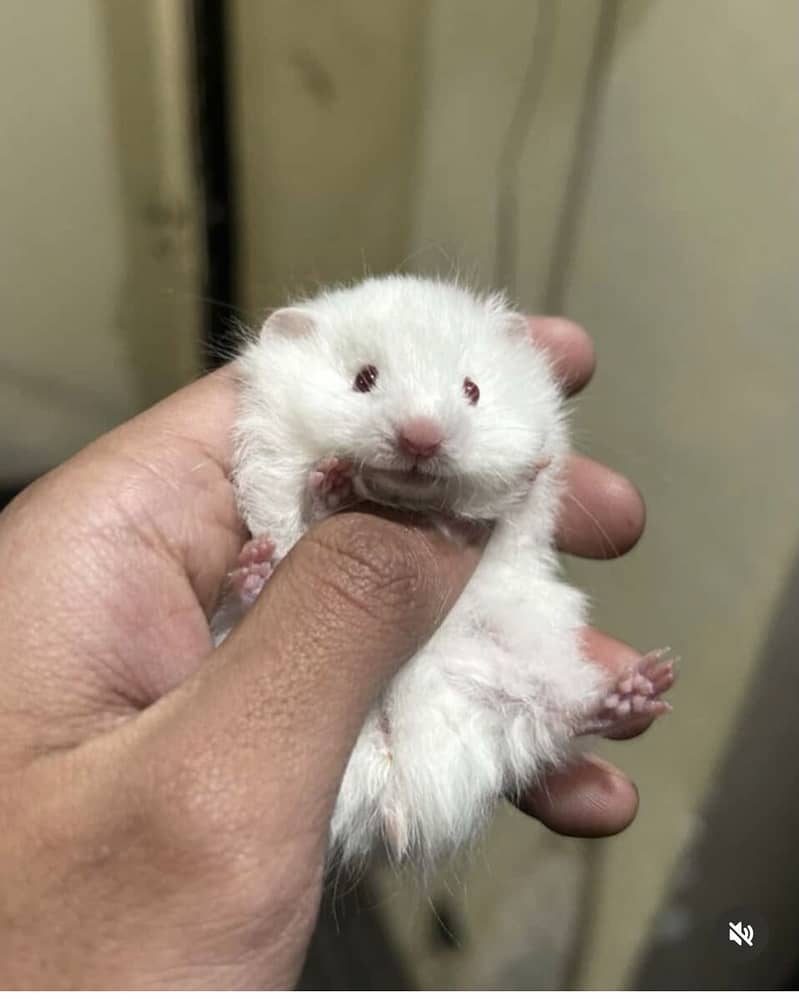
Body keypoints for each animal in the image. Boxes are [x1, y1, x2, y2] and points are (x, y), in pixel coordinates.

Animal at [212, 275, 674, 870]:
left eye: (473, 389)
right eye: (364, 379)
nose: (422, 438)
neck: (408, 502)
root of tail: (397, 785)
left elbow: (513, 498)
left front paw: (528, 470)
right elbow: (298, 510)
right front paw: (333, 480)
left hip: (522, 680)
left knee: (562, 718)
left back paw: (643, 685)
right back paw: (258, 563)